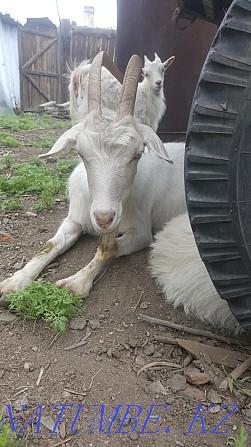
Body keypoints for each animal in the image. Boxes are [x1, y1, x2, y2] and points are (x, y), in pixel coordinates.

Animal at [0, 53, 184, 304]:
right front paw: (13, 283)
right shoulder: (73, 221)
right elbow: (47, 245)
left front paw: (75, 283)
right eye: (80, 152)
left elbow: (108, 248)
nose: (104, 219)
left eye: (138, 154)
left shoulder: (141, 232)